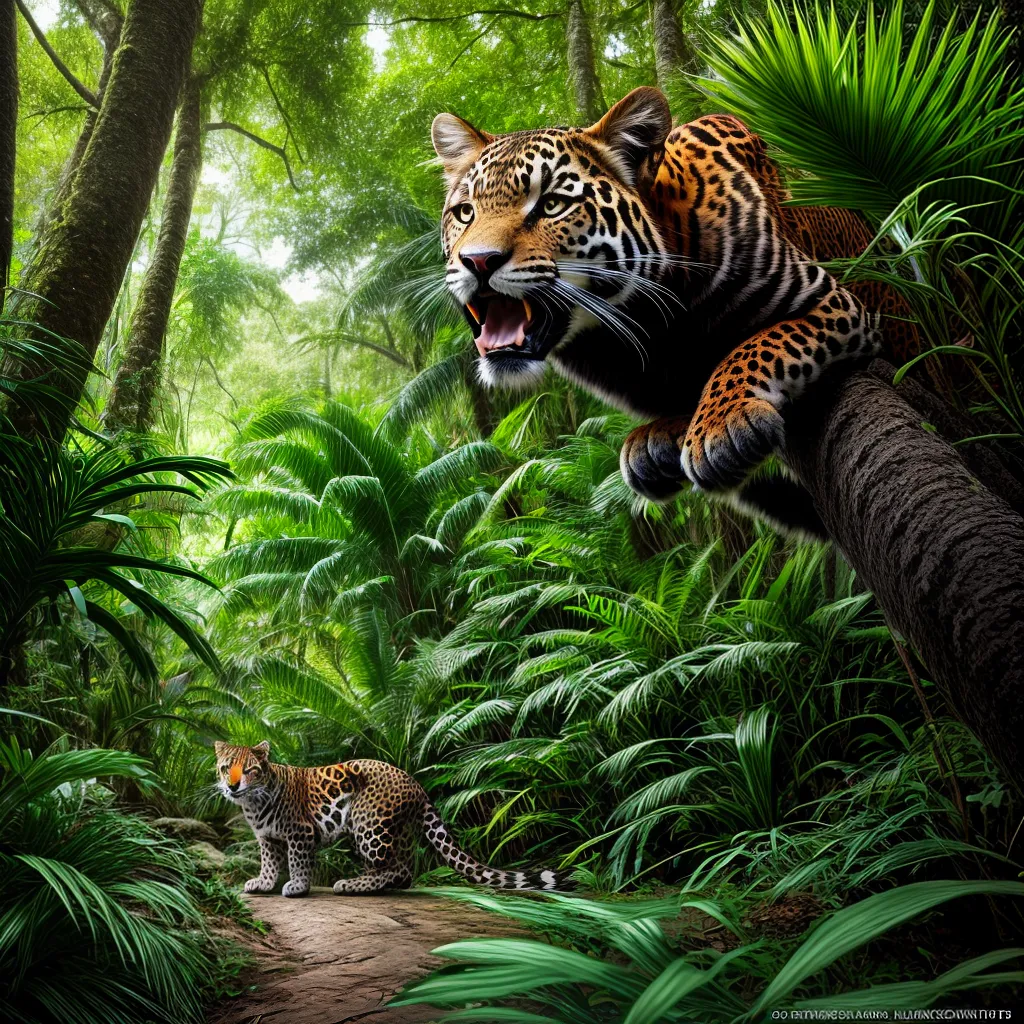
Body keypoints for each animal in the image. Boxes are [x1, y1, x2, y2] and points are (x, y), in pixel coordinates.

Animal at [214, 741, 569, 896]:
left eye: (250, 770)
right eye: (225, 767)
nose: (232, 785)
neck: (252, 803)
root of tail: (416, 784)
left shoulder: (300, 834)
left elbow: (298, 862)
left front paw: (298, 887)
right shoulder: (266, 838)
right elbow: (269, 862)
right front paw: (263, 883)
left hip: (368, 825)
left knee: (397, 868)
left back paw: (353, 885)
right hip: (396, 831)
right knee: (404, 870)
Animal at [431, 86, 919, 536]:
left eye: (551, 204)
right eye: (465, 212)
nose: (477, 261)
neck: (649, 323)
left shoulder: (829, 301)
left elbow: (751, 347)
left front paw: (720, 423)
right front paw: (658, 435)